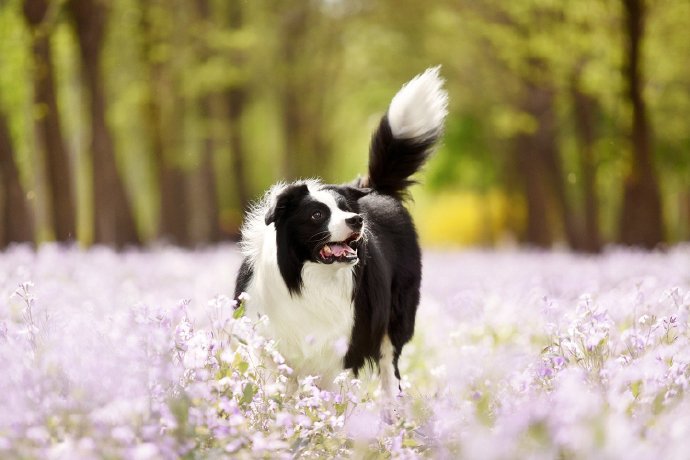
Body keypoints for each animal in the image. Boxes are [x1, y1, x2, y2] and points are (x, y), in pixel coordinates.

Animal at [231, 66, 446, 398]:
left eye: (345, 208)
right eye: (317, 214)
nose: (357, 220)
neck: (308, 280)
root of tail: (377, 189)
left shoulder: (341, 351)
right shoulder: (270, 348)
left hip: (394, 322)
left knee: (390, 373)